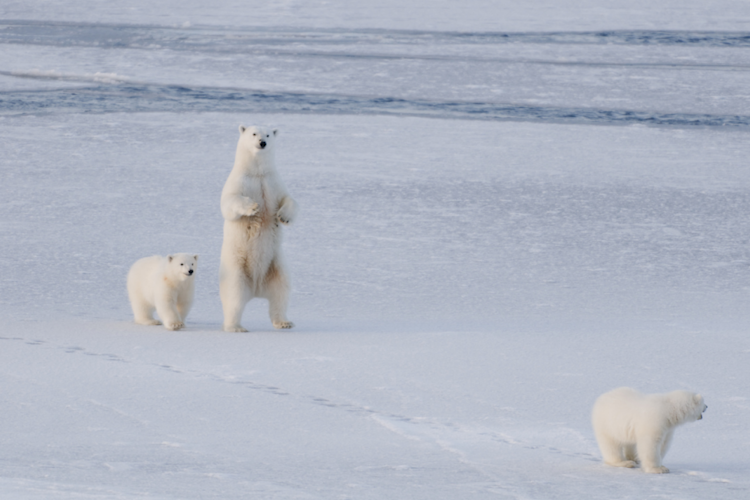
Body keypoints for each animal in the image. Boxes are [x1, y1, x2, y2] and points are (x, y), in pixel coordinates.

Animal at [219, 125, 298, 332]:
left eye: (268, 134)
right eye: (254, 133)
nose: (262, 142)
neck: (257, 173)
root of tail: (256, 289)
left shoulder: (273, 182)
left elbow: (289, 199)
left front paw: (283, 217)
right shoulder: (239, 181)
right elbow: (229, 202)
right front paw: (252, 207)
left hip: (276, 265)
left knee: (281, 292)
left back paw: (284, 322)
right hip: (236, 268)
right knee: (234, 296)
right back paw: (235, 327)